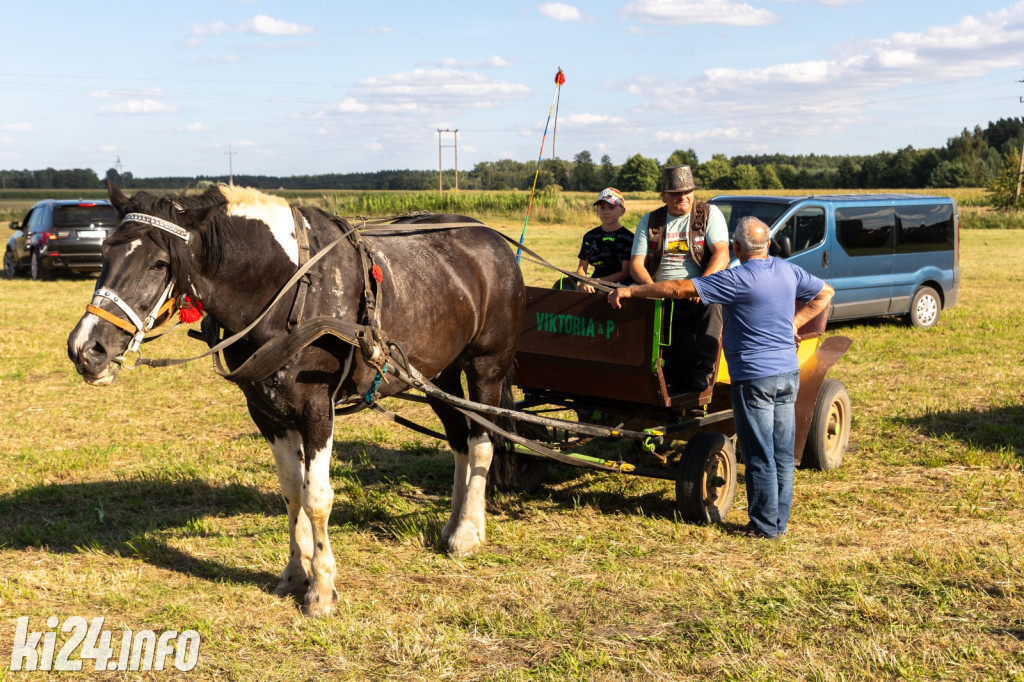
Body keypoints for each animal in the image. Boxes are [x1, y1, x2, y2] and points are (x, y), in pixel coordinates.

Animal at [68, 183, 524, 614]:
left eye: (159, 263)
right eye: (105, 253)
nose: (86, 348)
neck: (288, 291)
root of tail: (491, 238)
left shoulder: (316, 410)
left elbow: (316, 497)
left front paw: (321, 590)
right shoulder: (266, 412)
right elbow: (291, 491)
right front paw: (294, 573)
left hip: (486, 367)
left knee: (482, 443)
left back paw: (468, 532)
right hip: (437, 375)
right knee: (459, 440)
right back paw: (453, 524)